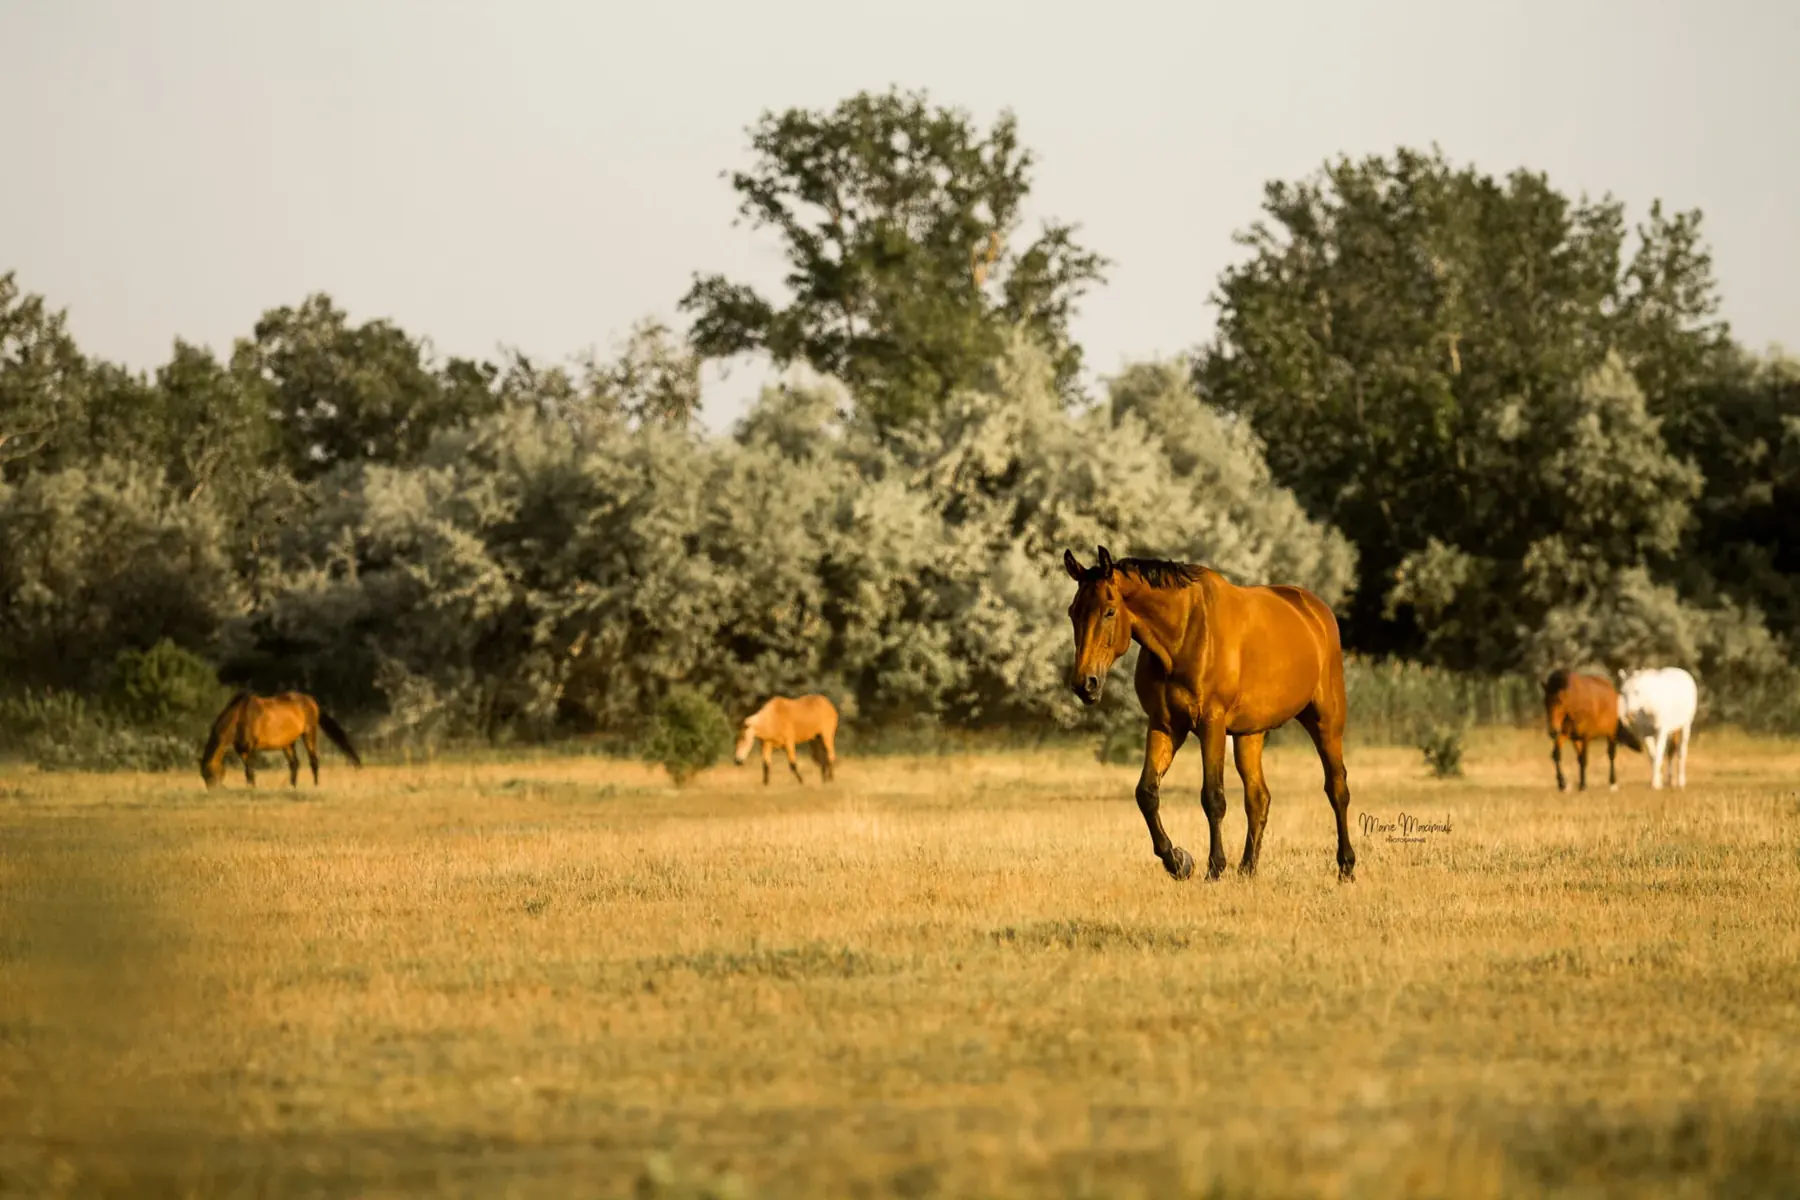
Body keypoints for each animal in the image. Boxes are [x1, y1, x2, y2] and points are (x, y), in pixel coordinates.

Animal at [200, 691, 362, 789]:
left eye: (210, 774)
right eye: (203, 776)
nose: (214, 792)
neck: (241, 715)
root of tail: (311, 700)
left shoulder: (252, 748)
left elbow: (250, 771)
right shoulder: (242, 750)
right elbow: (248, 773)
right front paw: (250, 788)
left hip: (309, 734)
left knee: (313, 761)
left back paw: (315, 786)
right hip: (287, 743)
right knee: (294, 764)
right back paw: (293, 788)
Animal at [1063, 545, 1356, 883]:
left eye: (1109, 611)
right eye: (1073, 612)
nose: (1085, 684)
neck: (1183, 636)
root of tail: (1315, 611)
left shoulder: (1211, 724)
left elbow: (1213, 798)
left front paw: (1214, 867)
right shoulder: (1165, 725)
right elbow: (1147, 793)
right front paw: (1177, 861)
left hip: (1326, 722)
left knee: (1337, 788)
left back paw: (1346, 866)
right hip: (1249, 734)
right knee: (1258, 797)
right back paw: (1247, 868)